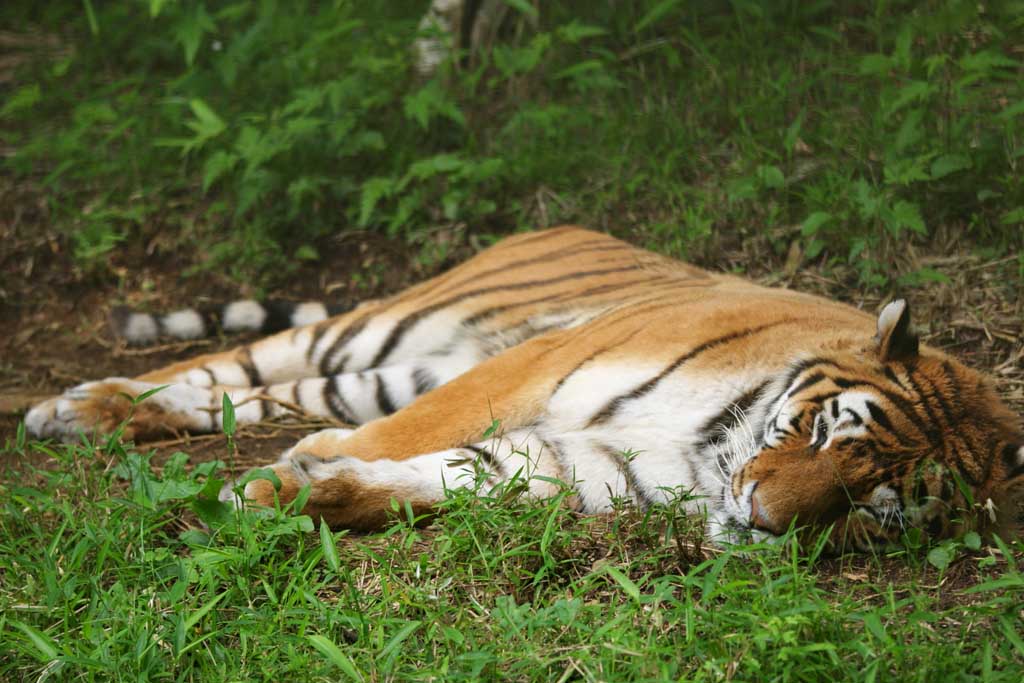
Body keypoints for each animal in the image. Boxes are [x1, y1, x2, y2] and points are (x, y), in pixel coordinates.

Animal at [24, 227, 1024, 552]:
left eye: (876, 509)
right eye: (822, 432)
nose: (762, 519)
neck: (713, 447)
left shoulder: (593, 462)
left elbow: (453, 476)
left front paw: (298, 492)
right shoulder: (541, 364)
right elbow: (417, 435)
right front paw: (288, 478)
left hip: (384, 365)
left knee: (270, 394)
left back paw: (104, 416)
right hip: (396, 325)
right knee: (229, 363)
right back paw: (73, 405)